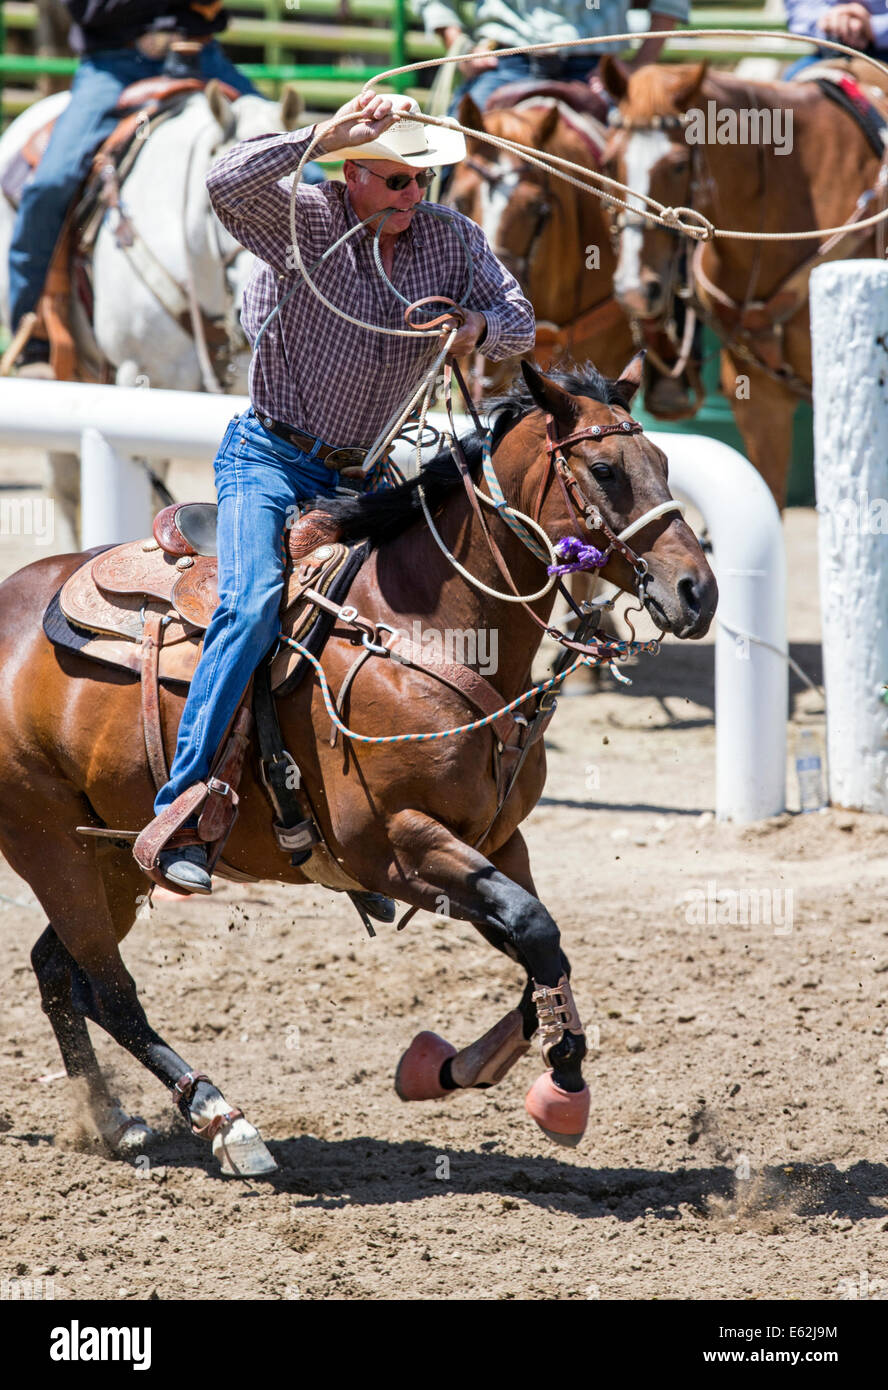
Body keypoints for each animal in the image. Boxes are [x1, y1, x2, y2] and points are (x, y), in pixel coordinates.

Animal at [0, 355, 717, 1177]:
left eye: (663, 461)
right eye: (604, 470)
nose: (697, 591)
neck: (423, 631)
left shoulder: (498, 841)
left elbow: (542, 945)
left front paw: (453, 1067)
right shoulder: (390, 846)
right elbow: (534, 930)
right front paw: (557, 1089)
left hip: (108, 856)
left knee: (62, 971)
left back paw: (116, 1122)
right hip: (50, 846)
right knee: (109, 988)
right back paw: (224, 1121)